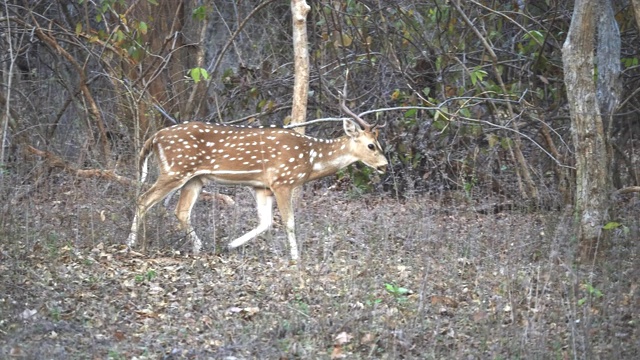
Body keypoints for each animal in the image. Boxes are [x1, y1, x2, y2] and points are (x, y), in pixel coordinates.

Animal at [125, 105, 384, 260]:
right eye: (371, 145)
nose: (384, 165)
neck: (311, 160)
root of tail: (154, 138)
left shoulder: (262, 187)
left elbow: (265, 222)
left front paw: (231, 244)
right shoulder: (282, 180)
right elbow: (289, 222)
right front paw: (296, 258)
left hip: (195, 178)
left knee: (181, 211)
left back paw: (199, 247)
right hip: (175, 169)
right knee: (143, 199)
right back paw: (130, 243)